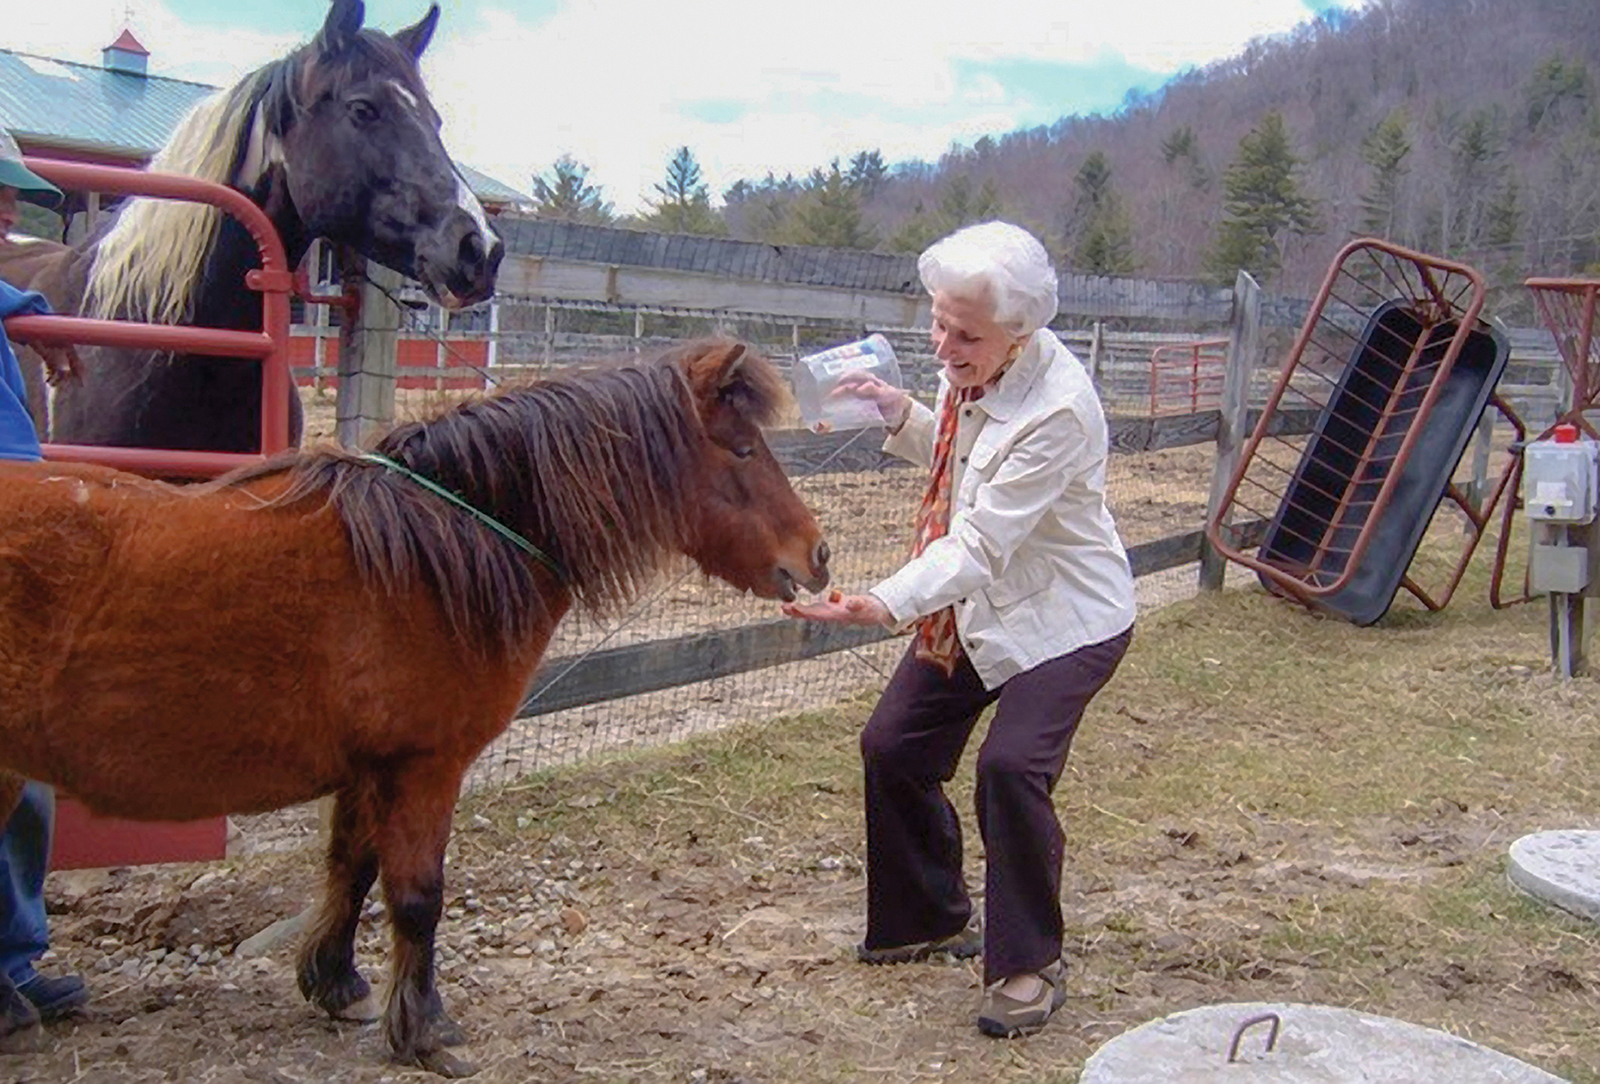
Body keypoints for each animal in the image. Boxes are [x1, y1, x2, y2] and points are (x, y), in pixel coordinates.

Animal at [0, 342, 832, 1080]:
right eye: (744, 450)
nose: (818, 556)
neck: (436, 551)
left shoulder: (372, 769)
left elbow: (352, 869)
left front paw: (335, 983)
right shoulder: (427, 766)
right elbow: (417, 898)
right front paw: (425, 1030)